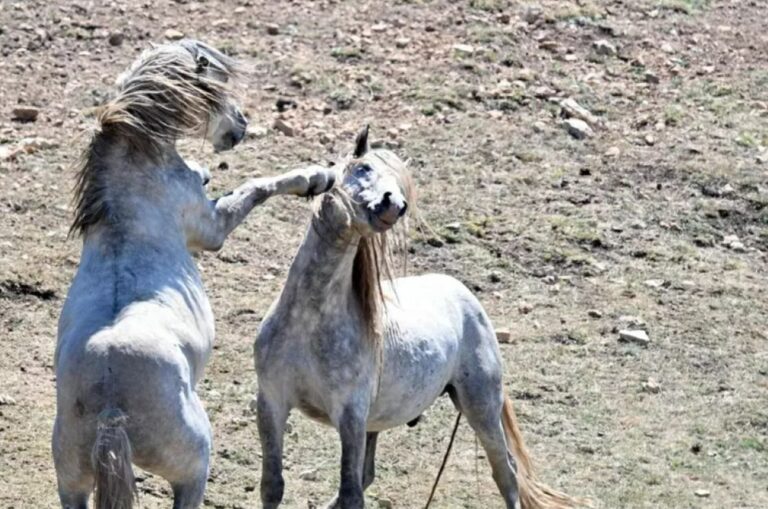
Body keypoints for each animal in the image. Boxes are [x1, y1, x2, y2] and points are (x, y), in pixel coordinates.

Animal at [53, 39, 335, 509]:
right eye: (216, 82)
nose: (240, 125)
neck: (128, 194)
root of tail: (110, 408)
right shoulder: (213, 228)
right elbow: (256, 187)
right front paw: (316, 176)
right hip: (192, 469)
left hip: (72, 486)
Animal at [253, 126, 583, 509]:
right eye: (364, 168)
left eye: (399, 184)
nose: (394, 205)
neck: (309, 324)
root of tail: (465, 296)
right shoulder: (272, 402)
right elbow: (274, 485)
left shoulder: (350, 417)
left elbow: (350, 493)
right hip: (379, 423)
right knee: (369, 475)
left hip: (481, 408)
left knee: (507, 474)